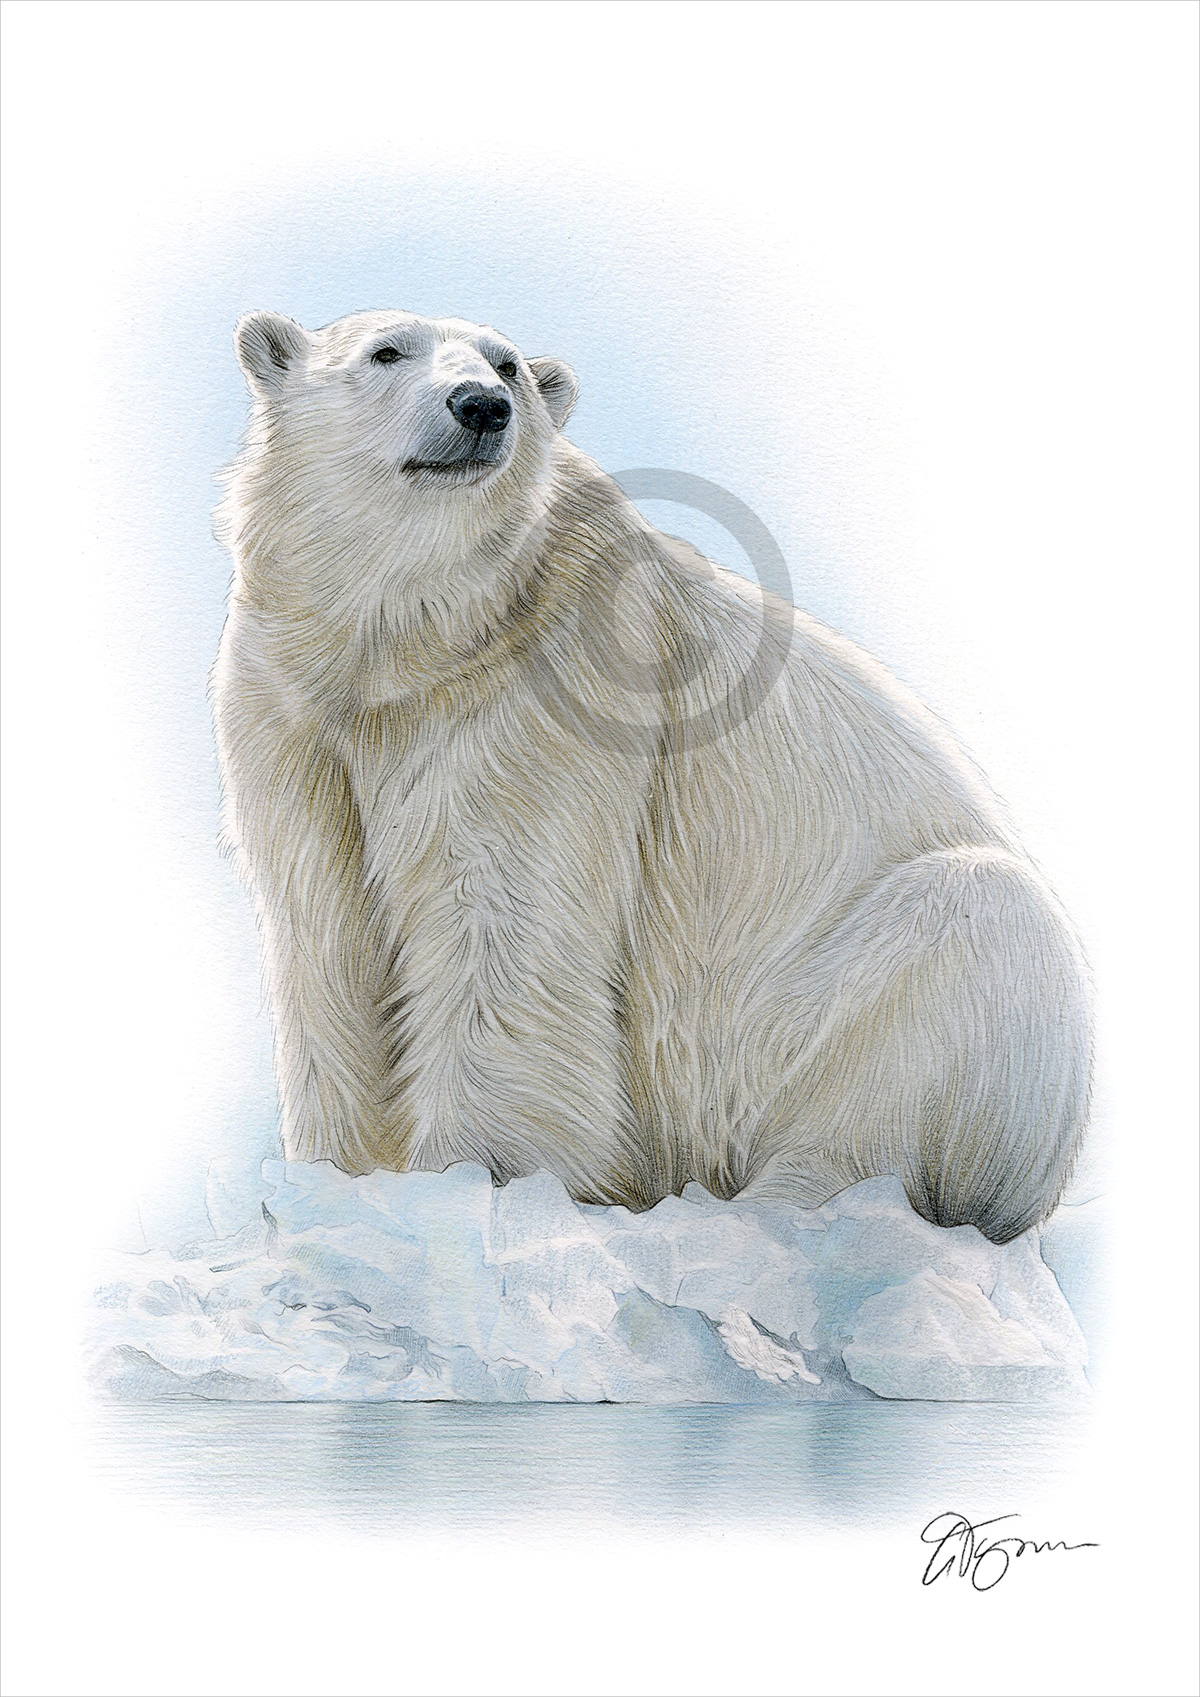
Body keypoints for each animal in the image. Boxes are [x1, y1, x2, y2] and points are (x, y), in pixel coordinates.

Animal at [213, 306, 1091, 1244]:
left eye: (508, 365)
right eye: (386, 352)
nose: (481, 405)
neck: (416, 641)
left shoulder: (544, 696)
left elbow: (501, 926)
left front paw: (475, 1179)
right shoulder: (294, 714)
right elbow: (325, 927)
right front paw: (335, 1177)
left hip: (836, 1030)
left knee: (955, 956)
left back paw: (781, 1209)